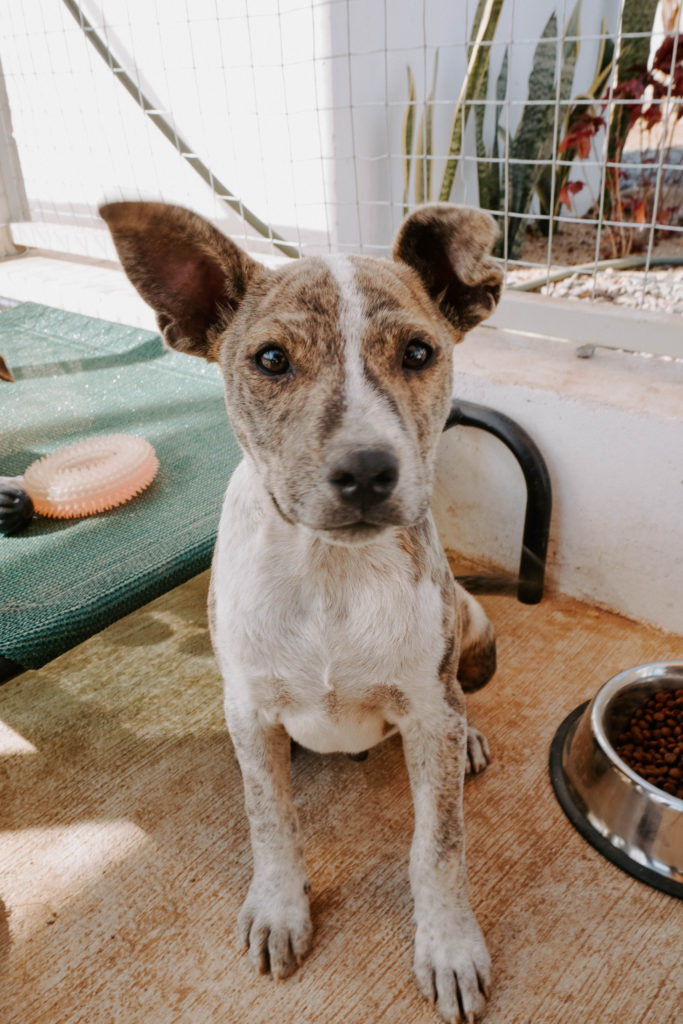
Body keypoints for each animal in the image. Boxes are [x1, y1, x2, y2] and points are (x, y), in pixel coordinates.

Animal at [100, 199, 501, 1024]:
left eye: (418, 352)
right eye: (271, 360)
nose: (366, 472)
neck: (328, 573)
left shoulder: (426, 711)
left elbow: (438, 845)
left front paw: (448, 946)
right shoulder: (251, 714)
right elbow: (270, 822)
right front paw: (280, 910)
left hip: (472, 630)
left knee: (462, 704)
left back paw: (473, 737)